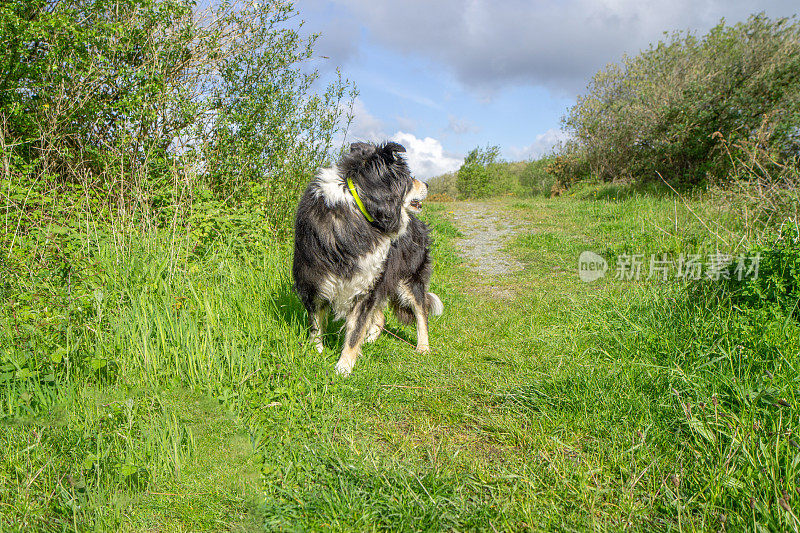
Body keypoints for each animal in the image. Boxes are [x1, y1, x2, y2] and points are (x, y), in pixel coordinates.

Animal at [292, 140, 444, 374]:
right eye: (409, 177)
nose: (427, 184)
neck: (358, 205)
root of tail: (418, 223)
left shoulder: (366, 285)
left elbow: (355, 331)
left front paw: (343, 369)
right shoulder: (314, 280)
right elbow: (315, 324)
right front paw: (315, 353)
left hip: (409, 279)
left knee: (421, 312)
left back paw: (423, 348)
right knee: (381, 316)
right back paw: (371, 340)